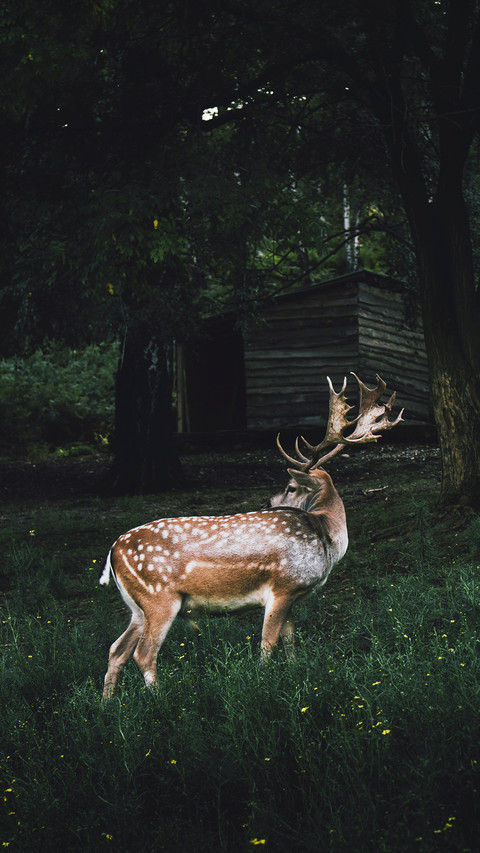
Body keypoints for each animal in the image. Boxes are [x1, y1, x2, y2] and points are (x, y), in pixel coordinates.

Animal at [99, 373, 403, 699]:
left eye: (291, 488)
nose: (267, 504)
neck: (326, 539)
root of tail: (113, 552)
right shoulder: (283, 586)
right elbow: (267, 644)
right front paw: (262, 685)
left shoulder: (292, 595)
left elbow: (290, 640)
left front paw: (295, 675)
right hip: (159, 597)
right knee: (144, 653)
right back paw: (161, 700)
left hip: (137, 607)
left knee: (116, 650)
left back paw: (107, 704)